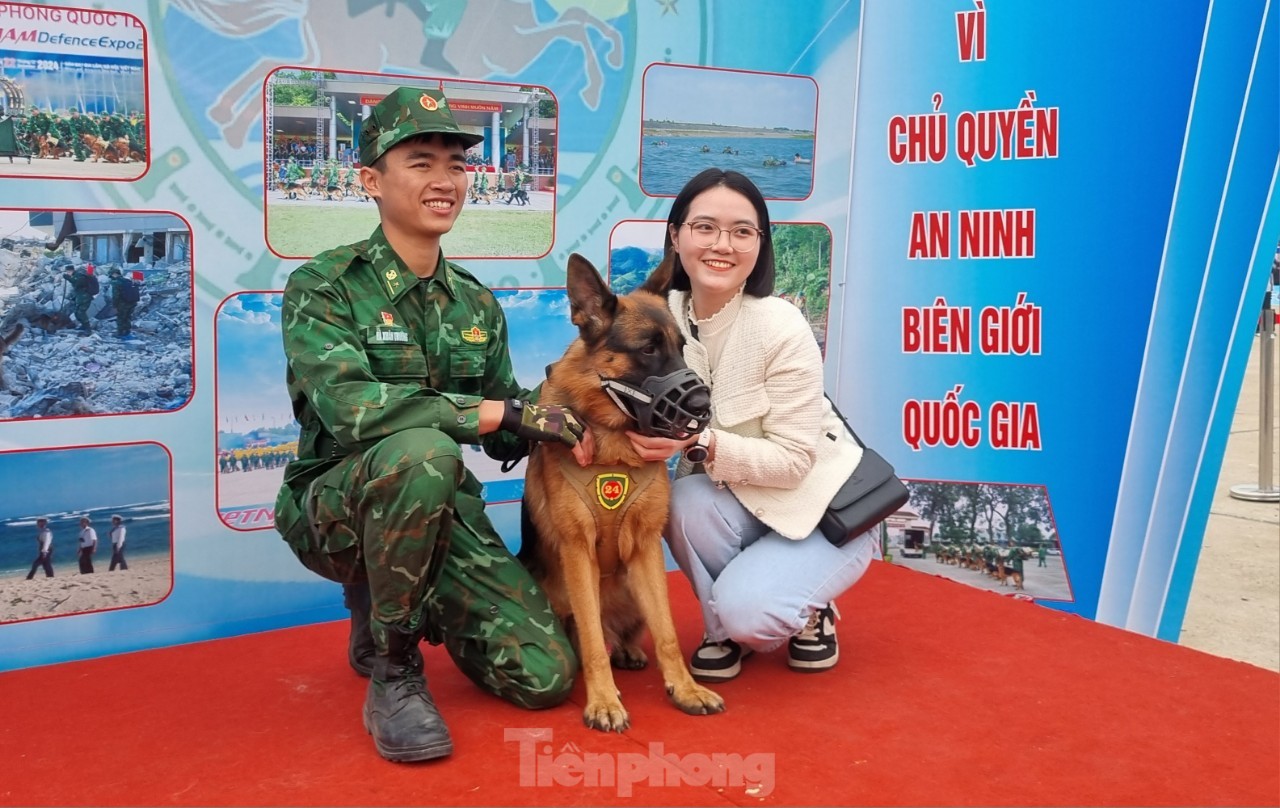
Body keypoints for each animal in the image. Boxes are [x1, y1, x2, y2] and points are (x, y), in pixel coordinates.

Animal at [517, 254, 721, 732]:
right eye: (647, 349)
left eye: (681, 346)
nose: (703, 408)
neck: (613, 447)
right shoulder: (578, 553)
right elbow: (591, 639)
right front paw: (604, 701)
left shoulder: (646, 549)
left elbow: (666, 632)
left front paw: (685, 689)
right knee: (589, 634)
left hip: (633, 585)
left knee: (625, 631)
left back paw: (627, 650)